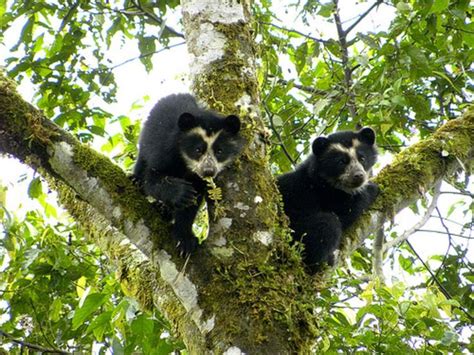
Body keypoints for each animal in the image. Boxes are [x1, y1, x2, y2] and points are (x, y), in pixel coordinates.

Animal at [133, 94, 244, 254]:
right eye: (198, 150)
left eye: (219, 151)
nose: (208, 171)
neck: (187, 165)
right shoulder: (164, 152)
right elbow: (153, 179)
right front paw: (182, 192)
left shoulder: (198, 180)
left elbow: (191, 205)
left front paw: (185, 242)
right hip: (146, 138)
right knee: (142, 161)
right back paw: (135, 180)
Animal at [276, 128, 380, 276]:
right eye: (341, 162)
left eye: (362, 158)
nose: (359, 176)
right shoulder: (322, 195)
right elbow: (345, 212)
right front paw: (372, 188)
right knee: (328, 223)